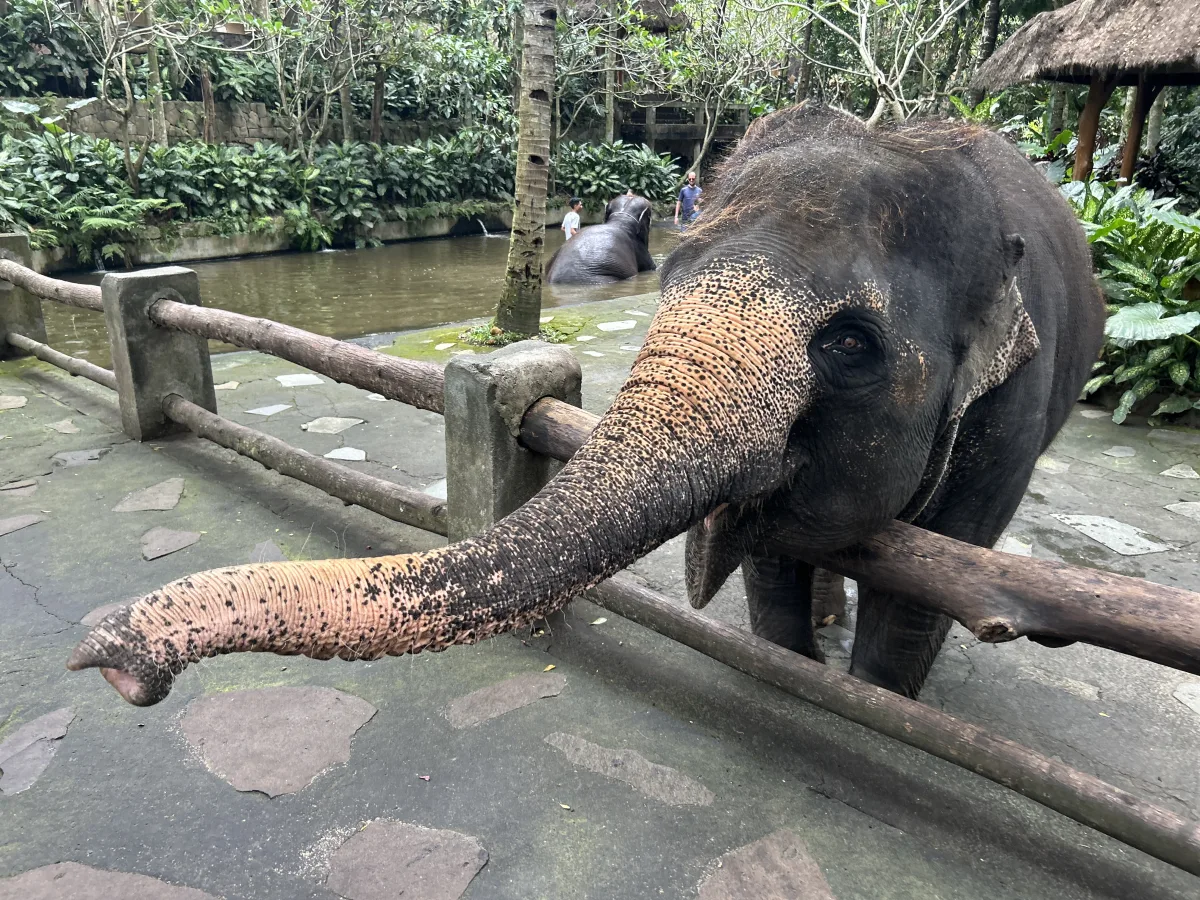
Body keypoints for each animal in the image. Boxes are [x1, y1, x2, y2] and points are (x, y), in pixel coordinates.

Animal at [69, 103, 1105, 707]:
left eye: (848, 344)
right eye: (673, 280)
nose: (109, 658)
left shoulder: (1012, 418)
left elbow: (928, 582)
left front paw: (875, 703)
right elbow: (775, 563)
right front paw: (799, 670)